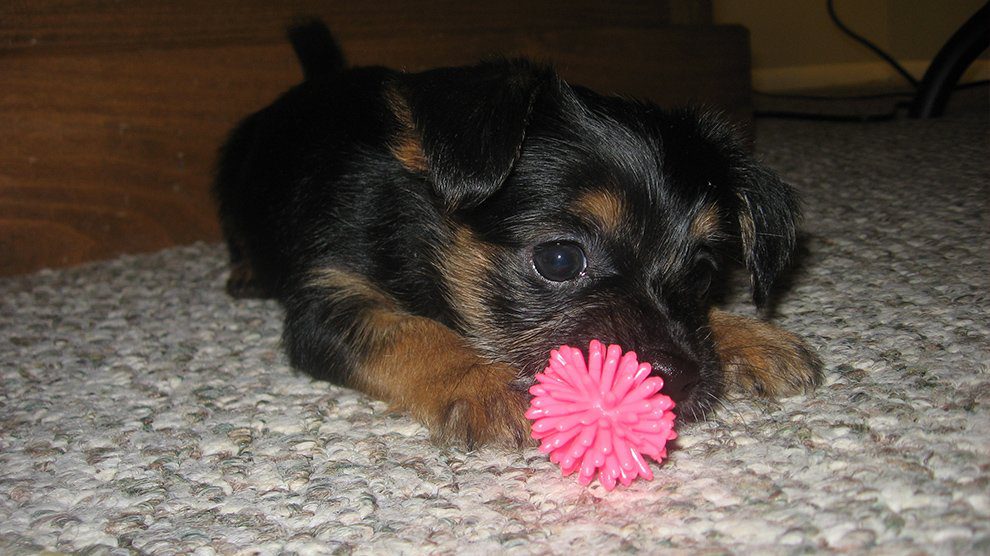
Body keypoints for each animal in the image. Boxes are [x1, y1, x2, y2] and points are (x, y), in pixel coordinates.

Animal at [215, 22, 820, 448]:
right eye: (559, 260)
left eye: (702, 273)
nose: (682, 381)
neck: (412, 221)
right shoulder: (328, 303)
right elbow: (412, 333)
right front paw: (480, 382)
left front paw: (748, 336)